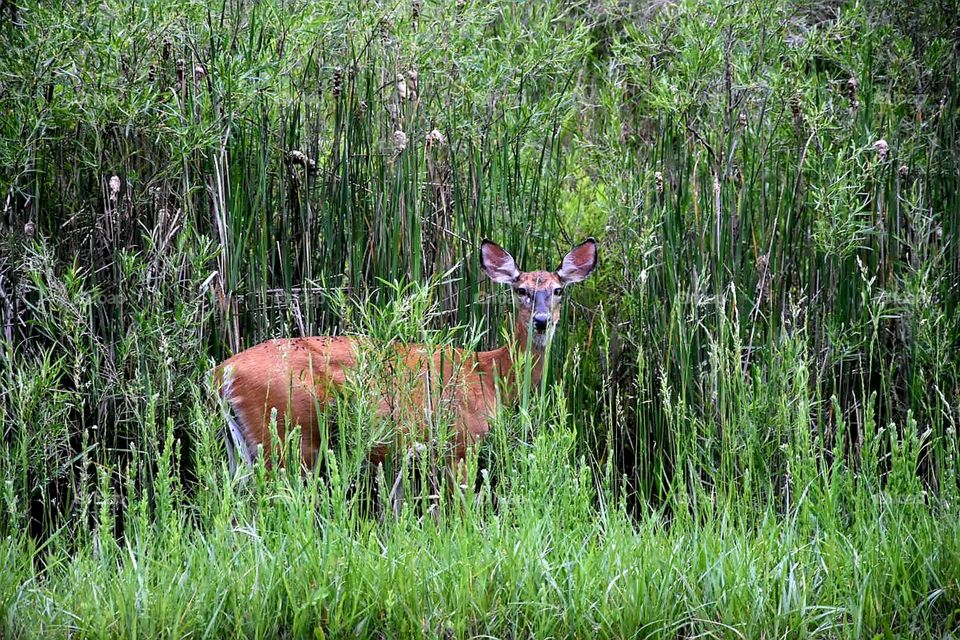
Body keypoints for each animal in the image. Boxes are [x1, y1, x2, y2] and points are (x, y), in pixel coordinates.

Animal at [214, 239, 596, 484]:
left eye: (558, 290)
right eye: (521, 290)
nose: (542, 320)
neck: (490, 375)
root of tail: (221, 372)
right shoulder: (461, 442)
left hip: (241, 442)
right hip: (285, 435)